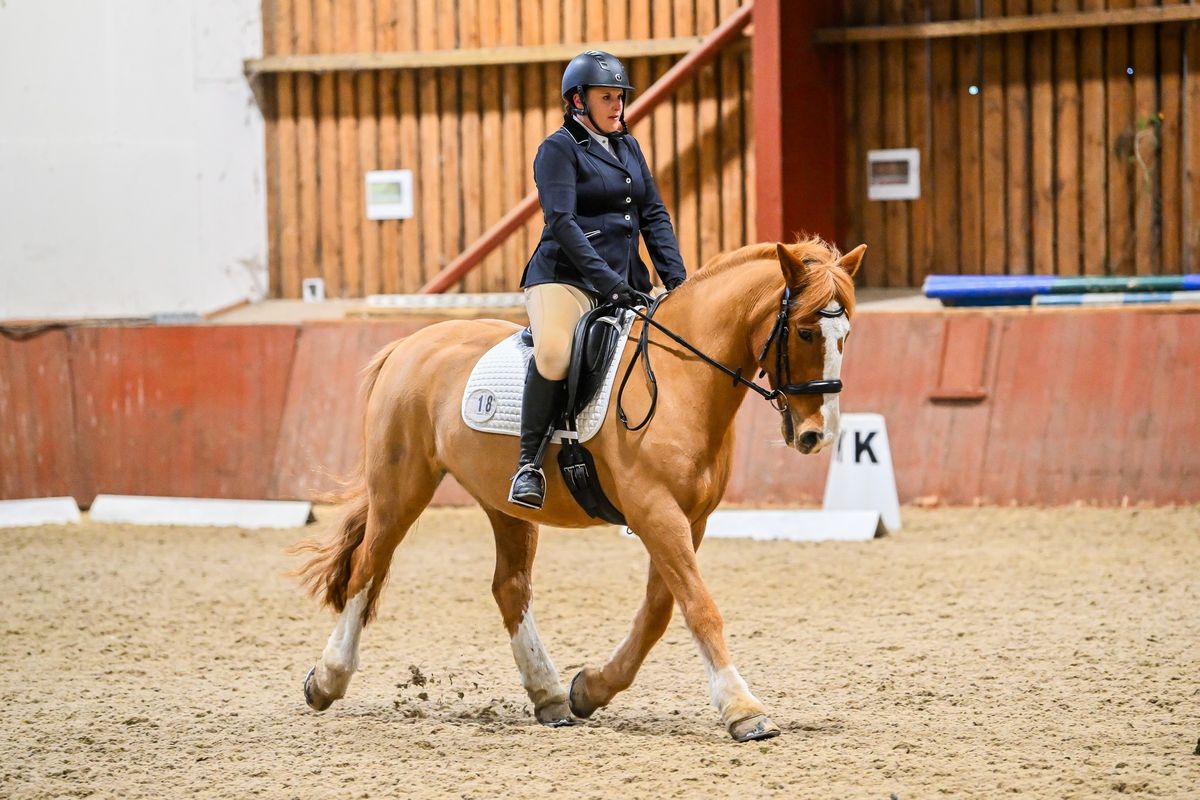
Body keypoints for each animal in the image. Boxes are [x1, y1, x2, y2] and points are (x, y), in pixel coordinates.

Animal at [296, 237, 868, 743]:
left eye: (846, 334)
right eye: (804, 332)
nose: (817, 436)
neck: (682, 380)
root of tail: (408, 344)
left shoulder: (690, 518)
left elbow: (660, 611)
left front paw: (590, 689)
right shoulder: (655, 511)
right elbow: (699, 606)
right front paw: (743, 710)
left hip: (503, 503)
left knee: (510, 587)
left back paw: (549, 697)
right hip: (401, 487)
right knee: (367, 569)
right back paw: (327, 680)